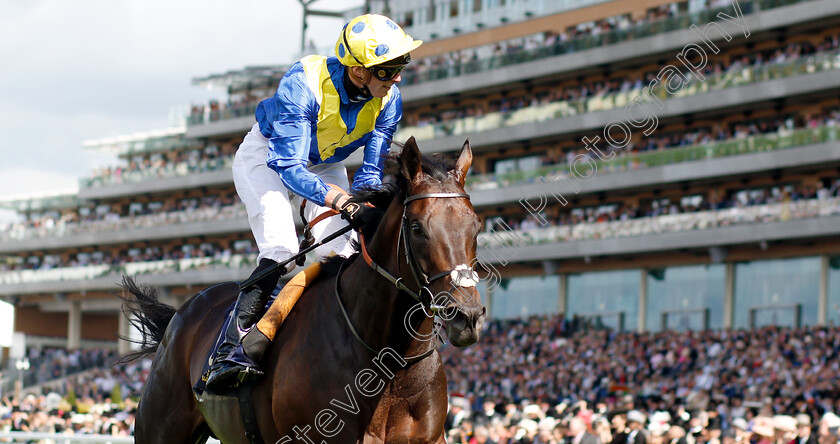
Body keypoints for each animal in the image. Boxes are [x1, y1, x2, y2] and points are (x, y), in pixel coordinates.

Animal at [125, 137, 492, 442]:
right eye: (417, 228)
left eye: (476, 226)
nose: (467, 316)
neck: (391, 366)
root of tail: (181, 313)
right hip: (161, 429)